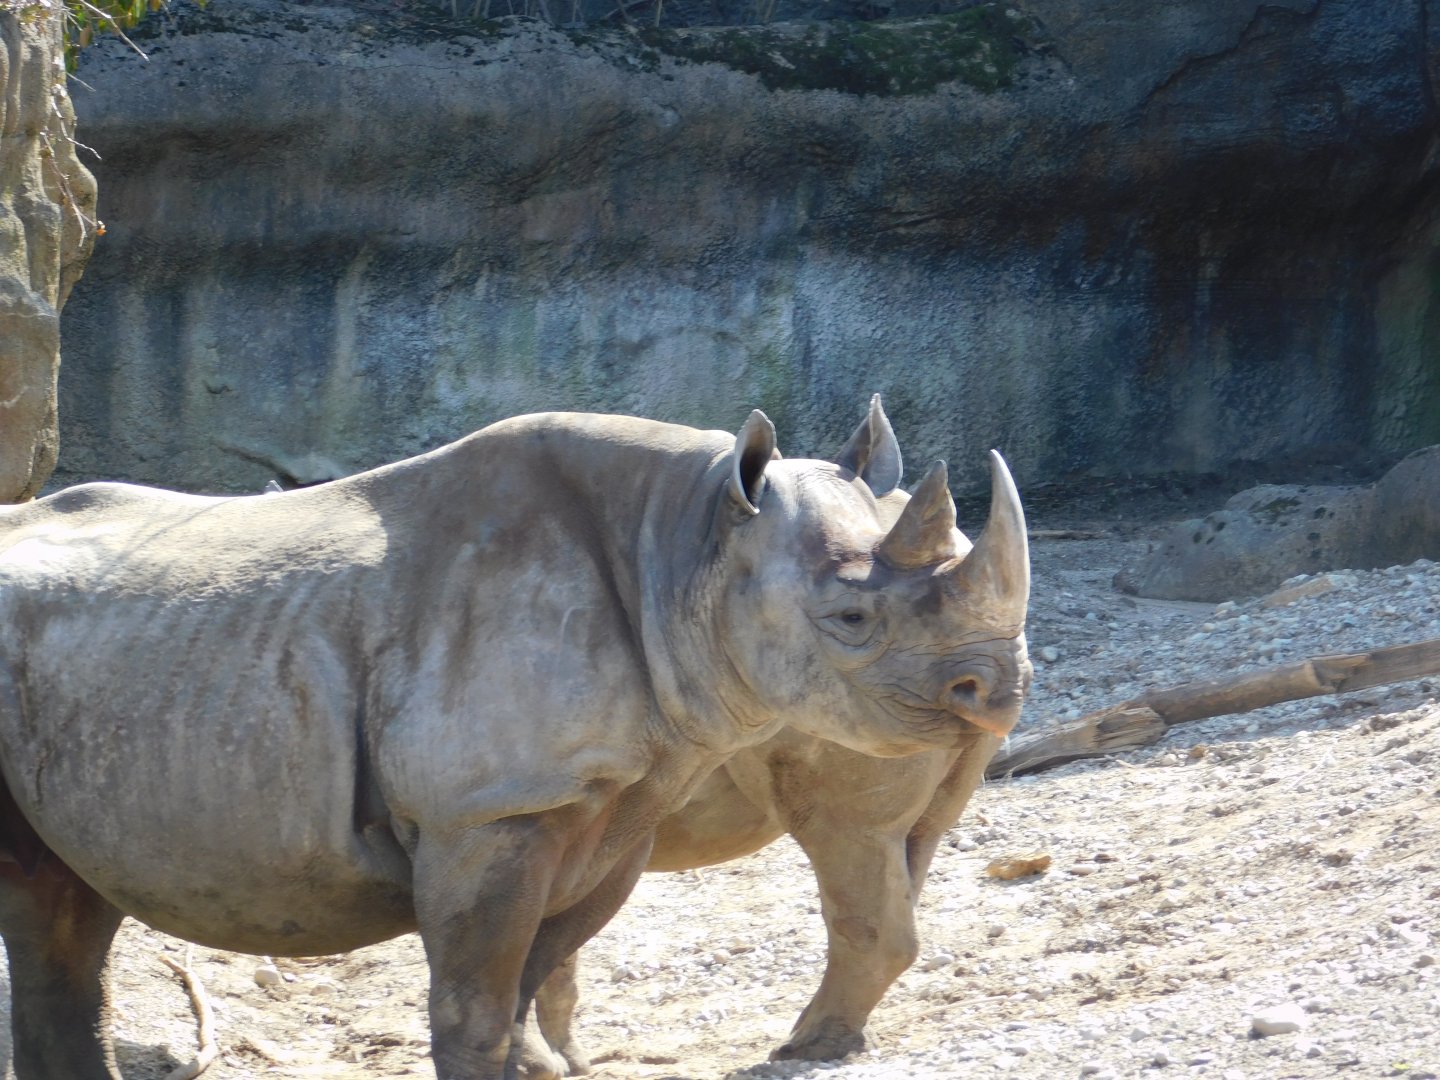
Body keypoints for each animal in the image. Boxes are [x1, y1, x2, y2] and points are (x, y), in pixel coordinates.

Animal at [0, 399, 1030, 1080]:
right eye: (851, 618)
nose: (1002, 685)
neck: (683, 550)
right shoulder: (488, 812)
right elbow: (479, 1004)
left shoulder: (618, 804)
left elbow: (530, 983)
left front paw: (543, 1064)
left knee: (64, 901)